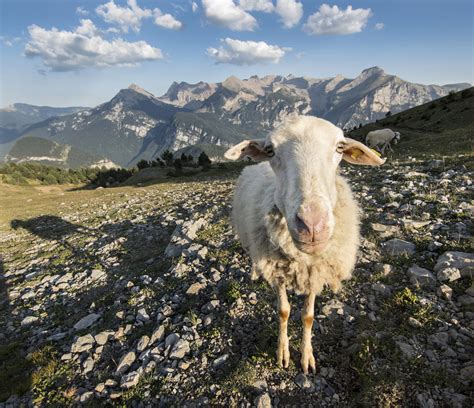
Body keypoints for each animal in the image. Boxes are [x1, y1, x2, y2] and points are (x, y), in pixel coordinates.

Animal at [224, 115, 384, 372]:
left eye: (340, 147)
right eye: (270, 151)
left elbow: (308, 316)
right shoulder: (277, 271)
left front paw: (306, 357)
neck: (301, 260)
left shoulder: (315, 272)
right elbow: (283, 311)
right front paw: (283, 353)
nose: (312, 224)